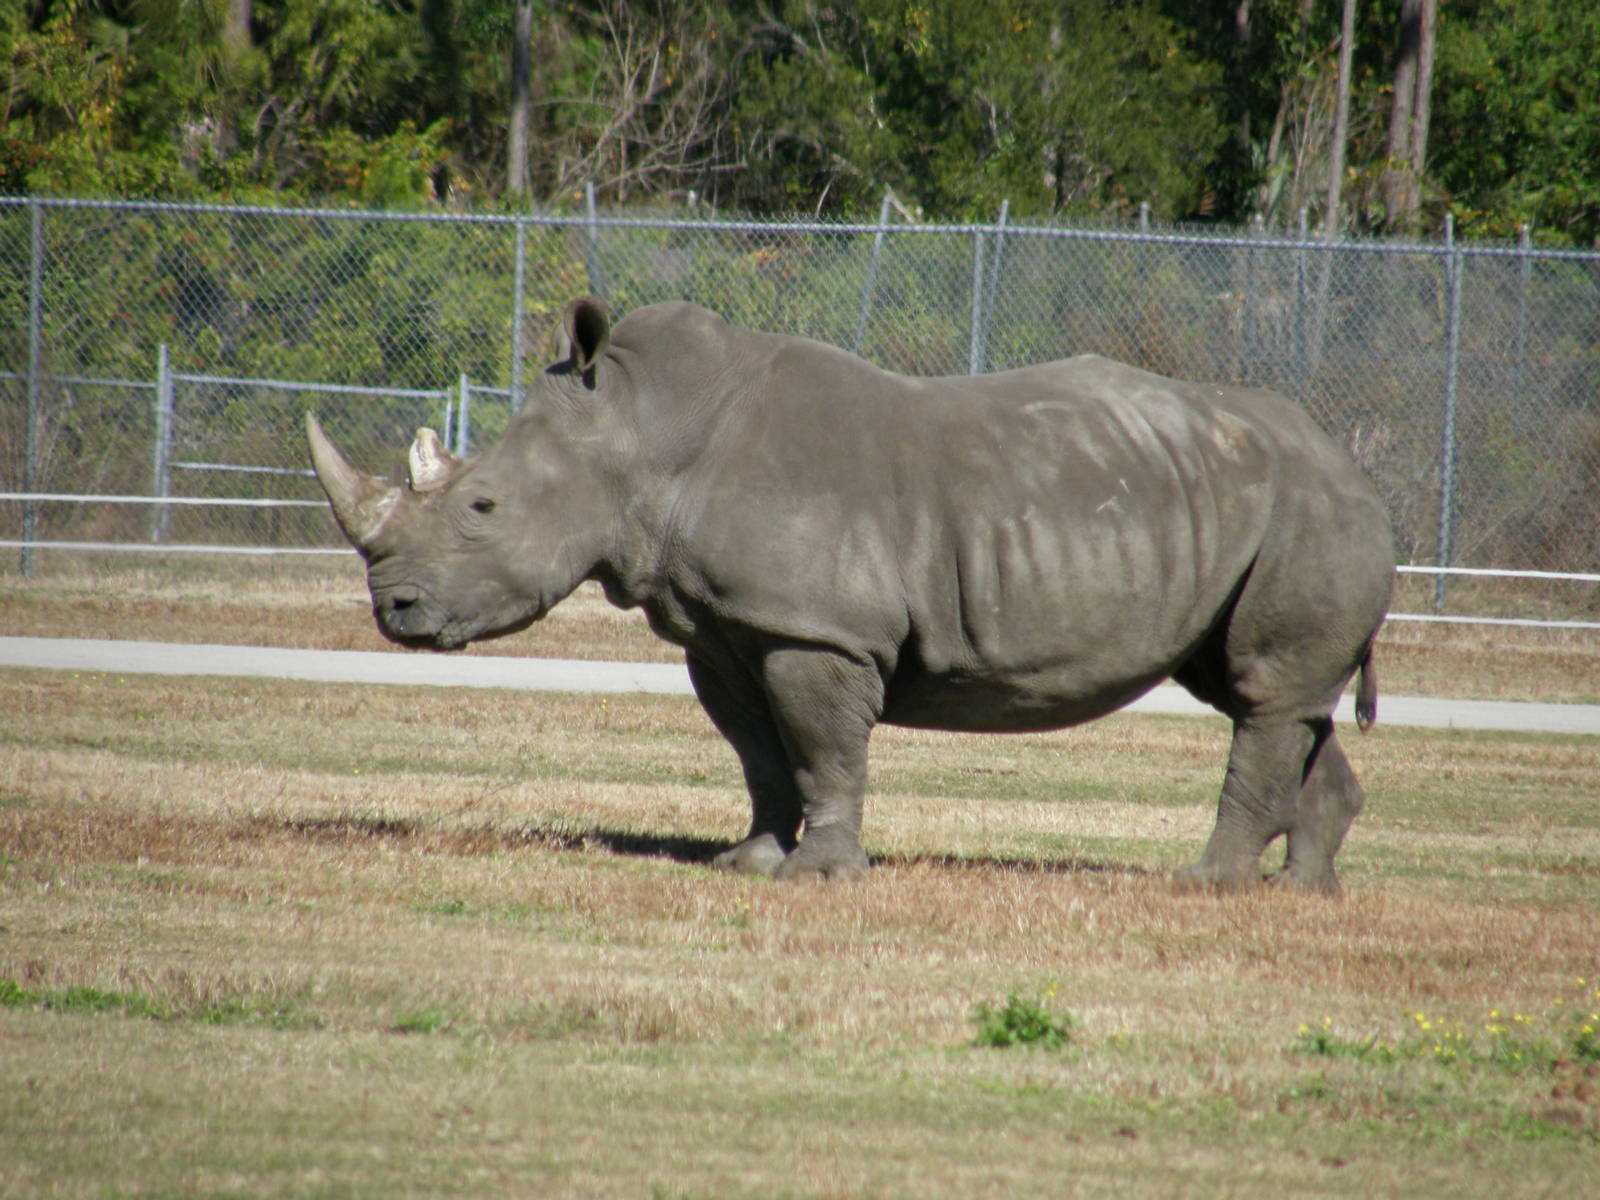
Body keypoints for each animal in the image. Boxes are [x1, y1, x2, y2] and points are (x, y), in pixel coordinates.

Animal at [307, 298, 1394, 894]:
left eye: (482, 506)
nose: (393, 612)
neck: (642, 435)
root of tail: (1357, 468)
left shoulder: (816, 629)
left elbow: (822, 746)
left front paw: (823, 875)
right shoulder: (724, 629)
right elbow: (757, 752)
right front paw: (747, 865)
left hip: (1307, 509)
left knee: (1263, 693)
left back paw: (1208, 886)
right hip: (1249, 507)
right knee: (1271, 694)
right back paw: (1304, 893)